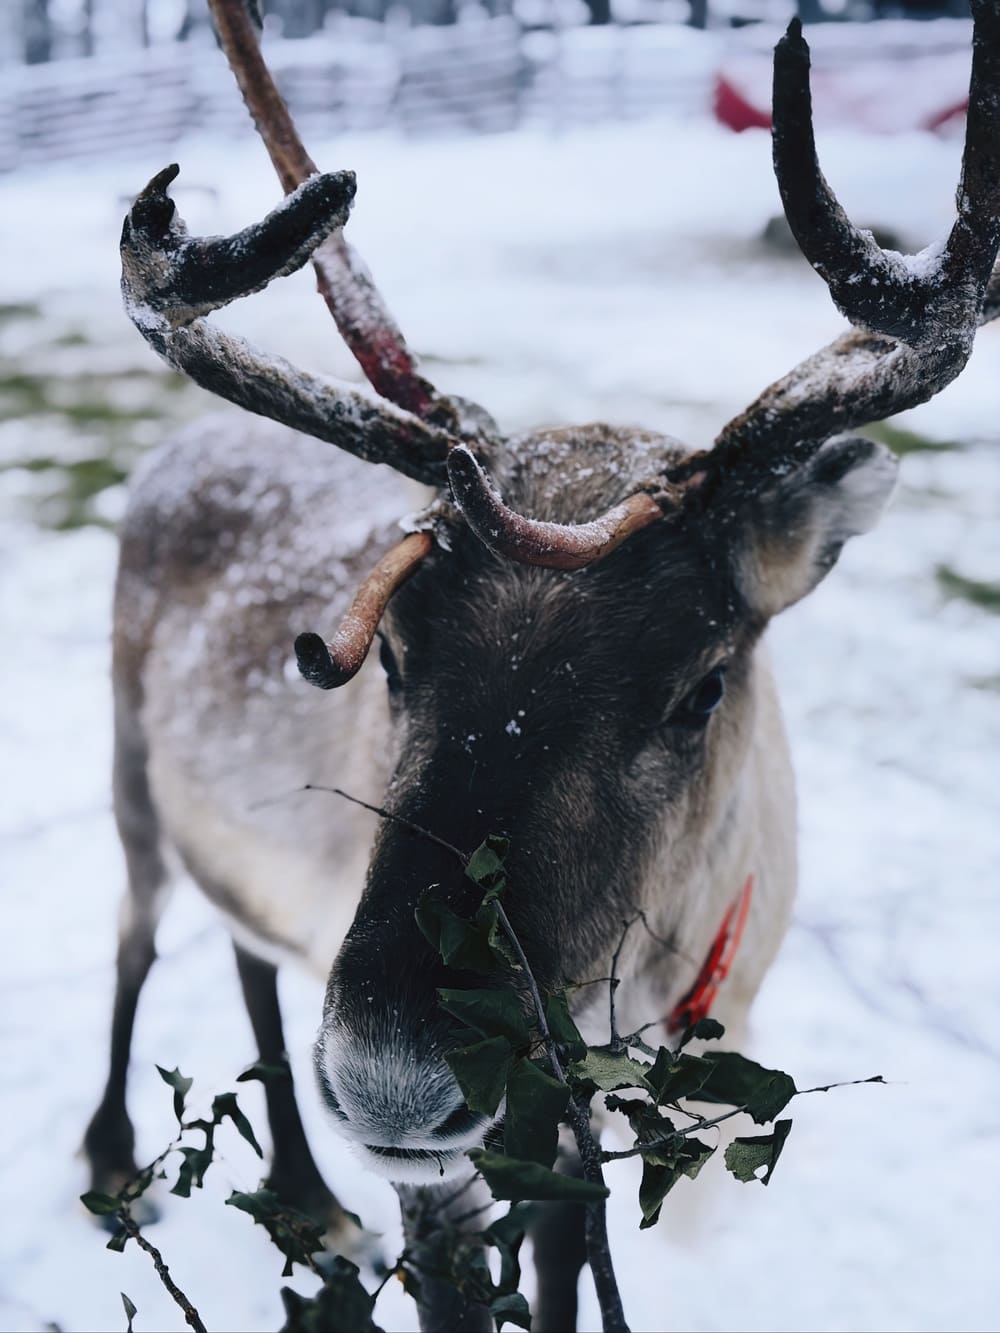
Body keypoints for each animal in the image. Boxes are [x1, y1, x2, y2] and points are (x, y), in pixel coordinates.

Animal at [83, 1, 1000, 1328]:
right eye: (392, 657)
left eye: (700, 686)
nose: (397, 1077)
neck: (658, 987)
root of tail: (173, 454)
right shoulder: (463, 1170)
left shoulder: (569, 1121)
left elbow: (568, 1260)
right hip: (132, 787)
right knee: (136, 940)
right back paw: (114, 1161)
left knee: (249, 962)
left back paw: (306, 1195)